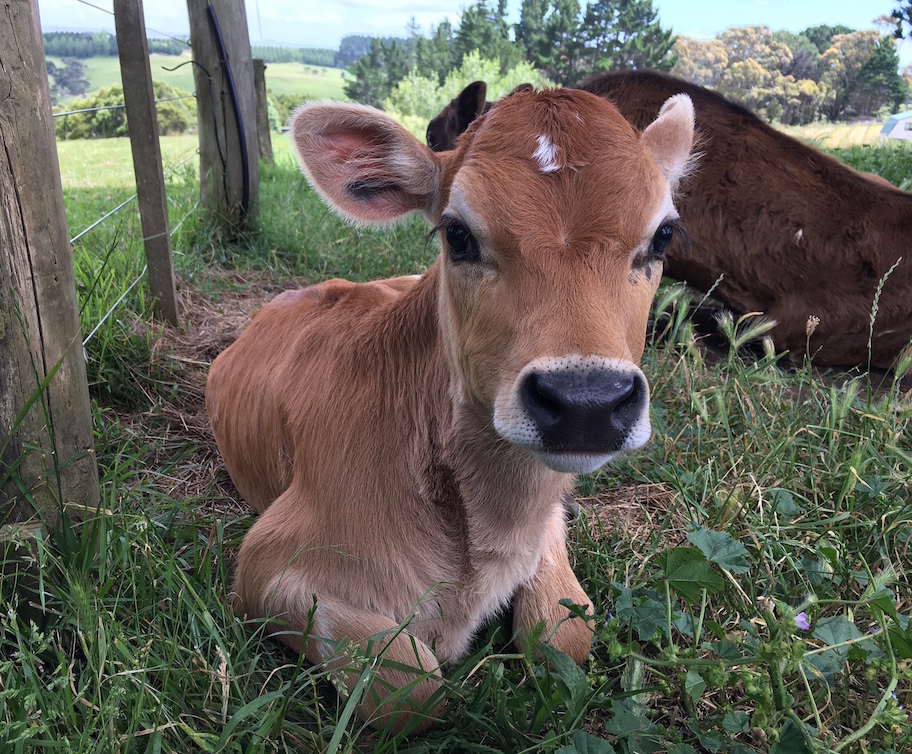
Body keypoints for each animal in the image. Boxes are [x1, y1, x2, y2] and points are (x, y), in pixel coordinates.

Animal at [205, 88, 692, 728]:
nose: (586, 402)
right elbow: (412, 686)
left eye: (663, 236)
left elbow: (565, 634)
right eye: (457, 234)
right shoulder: (265, 567)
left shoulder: (545, 525)